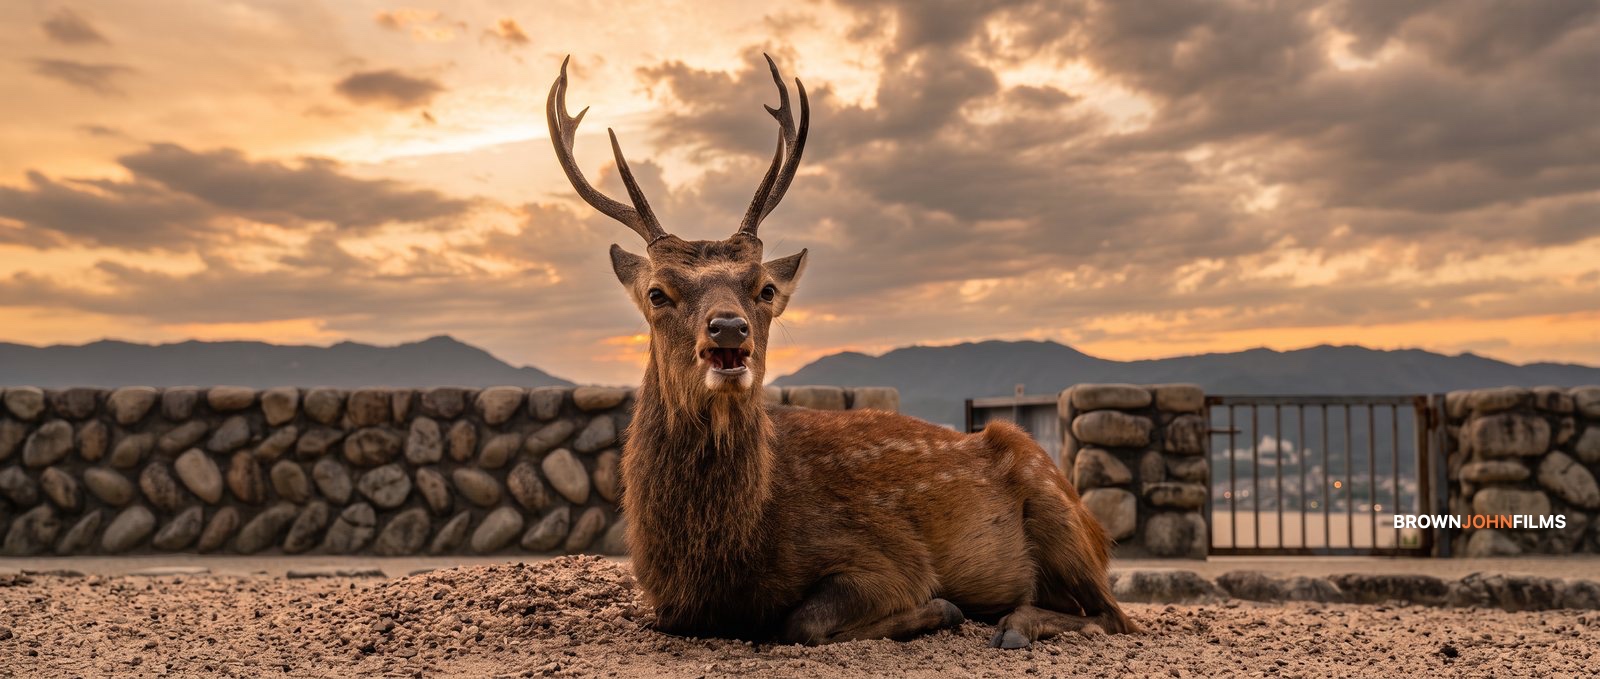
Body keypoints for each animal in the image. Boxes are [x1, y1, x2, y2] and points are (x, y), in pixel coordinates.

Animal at [546, 54, 1137, 649]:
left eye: (764, 288)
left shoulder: (889, 558)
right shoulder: (665, 603)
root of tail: (1098, 532)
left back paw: (1013, 624)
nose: (729, 329)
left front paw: (942, 608)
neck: (721, 562)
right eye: (657, 292)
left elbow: (802, 620)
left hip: (1056, 505)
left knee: (1114, 615)